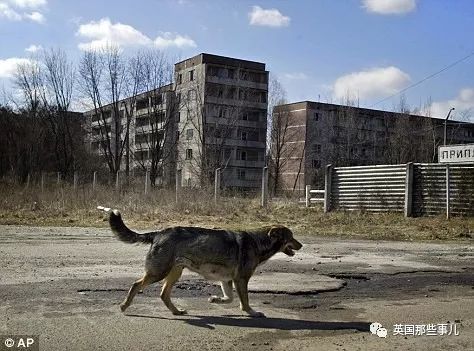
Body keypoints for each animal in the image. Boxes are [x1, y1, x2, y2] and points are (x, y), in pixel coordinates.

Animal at [98, 206, 302, 320]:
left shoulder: (227, 280)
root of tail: (159, 233)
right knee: (135, 285)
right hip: (158, 272)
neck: (258, 241)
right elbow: (244, 301)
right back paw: (124, 306)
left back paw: (176, 312)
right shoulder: (241, 280)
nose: (302, 245)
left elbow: (230, 298)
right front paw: (252, 313)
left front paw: (216, 299)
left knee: (164, 294)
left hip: (175, 272)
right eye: (291, 237)